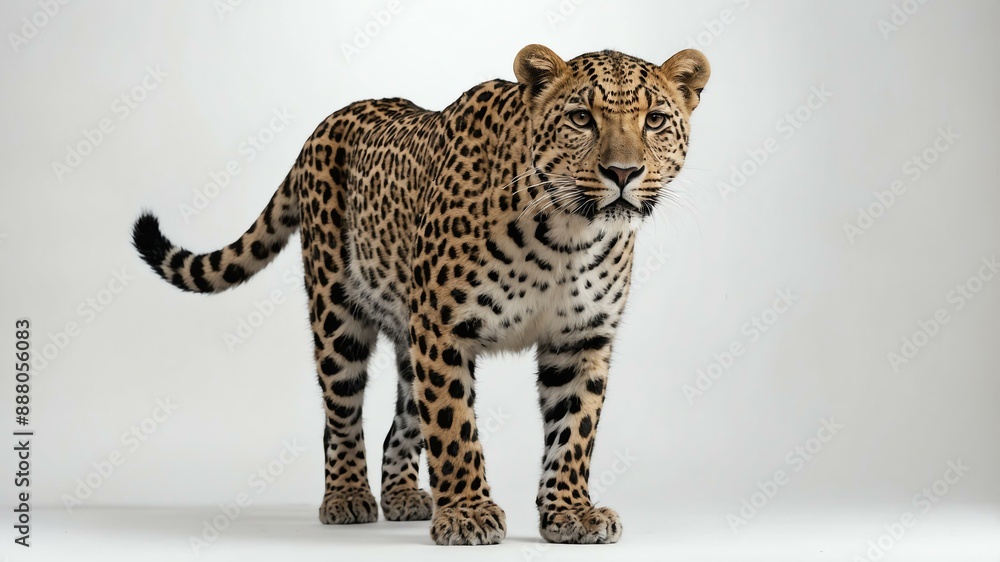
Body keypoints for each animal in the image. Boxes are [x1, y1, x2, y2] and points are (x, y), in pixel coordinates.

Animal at [131, 44, 710, 546]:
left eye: (655, 121)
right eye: (581, 119)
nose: (623, 172)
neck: (567, 235)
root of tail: (324, 125)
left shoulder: (581, 339)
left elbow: (574, 431)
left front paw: (569, 512)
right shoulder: (443, 328)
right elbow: (454, 427)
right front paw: (470, 513)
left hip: (409, 339)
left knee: (403, 420)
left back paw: (404, 496)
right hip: (339, 315)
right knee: (341, 416)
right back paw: (347, 497)